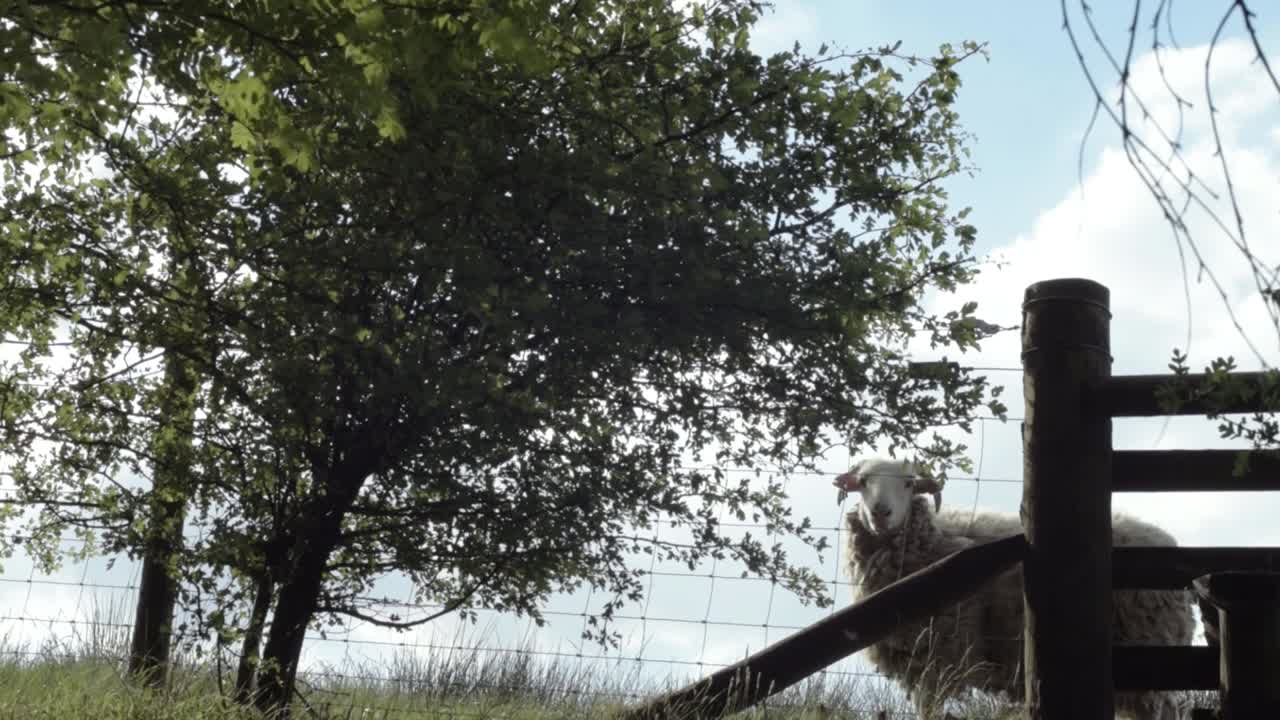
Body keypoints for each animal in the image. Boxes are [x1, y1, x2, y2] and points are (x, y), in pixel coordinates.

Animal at [838, 456, 1196, 720]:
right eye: (863, 483)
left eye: (909, 483)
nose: (880, 513)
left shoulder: (938, 655)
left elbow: (931, 709)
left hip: (1148, 645)